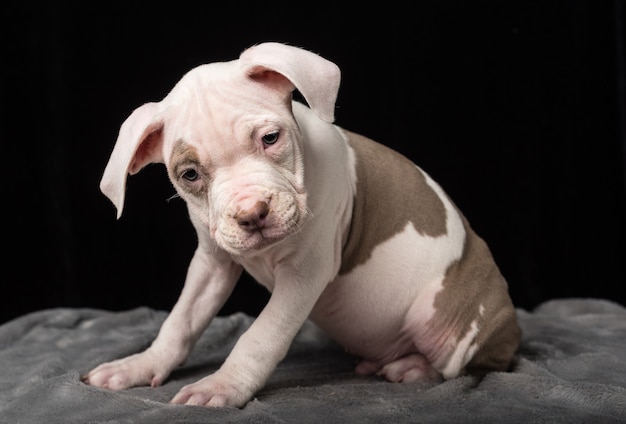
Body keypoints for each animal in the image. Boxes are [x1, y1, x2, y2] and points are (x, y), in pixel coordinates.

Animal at [84, 40, 520, 408]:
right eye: (190, 174)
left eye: (270, 138)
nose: (251, 212)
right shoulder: (212, 263)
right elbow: (180, 321)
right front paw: (139, 365)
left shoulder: (305, 273)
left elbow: (262, 335)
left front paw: (222, 386)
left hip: (451, 320)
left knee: (466, 365)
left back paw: (413, 367)